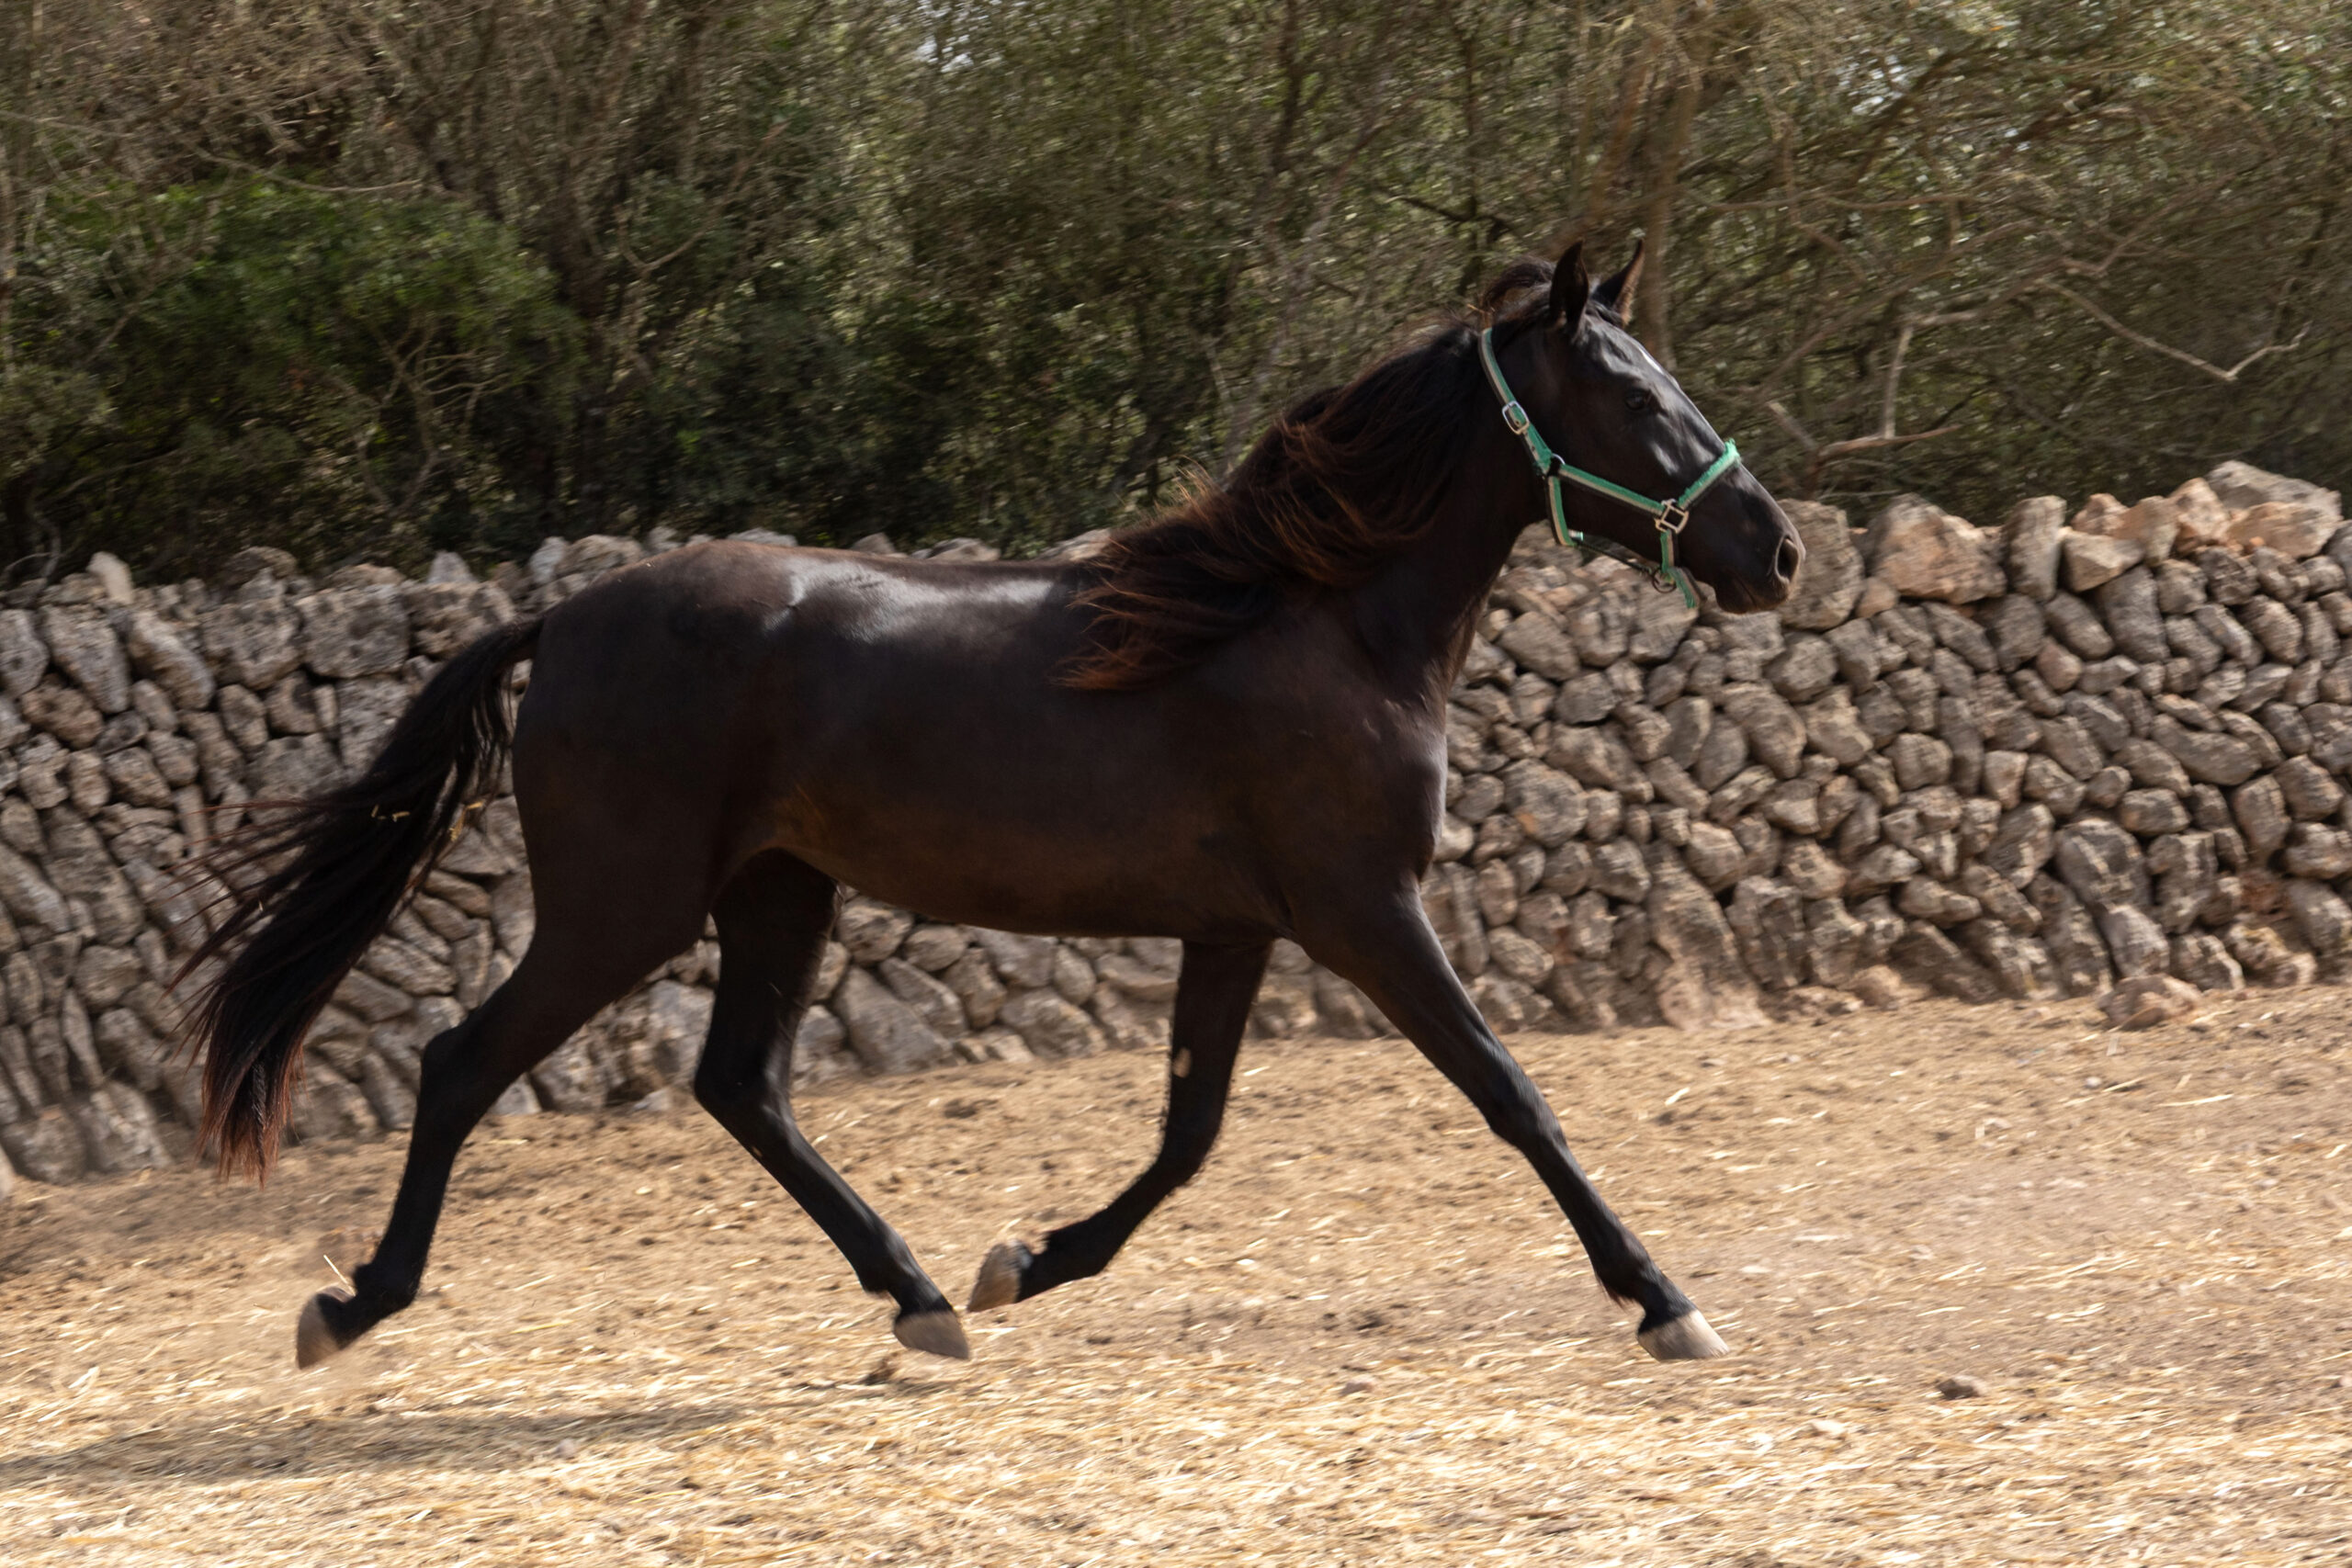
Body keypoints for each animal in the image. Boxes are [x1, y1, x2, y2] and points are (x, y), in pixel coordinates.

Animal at [187, 240, 1803, 1372]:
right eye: (1638, 394)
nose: (1775, 550)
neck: (1323, 622)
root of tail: (565, 620)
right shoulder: (1364, 909)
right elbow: (1511, 1092)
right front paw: (1666, 1301)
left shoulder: (1240, 928)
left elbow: (1190, 1131)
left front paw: (1023, 1261)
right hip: (623, 905)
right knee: (466, 1061)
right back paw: (352, 1304)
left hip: (777, 891)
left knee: (743, 1085)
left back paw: (918, 1299)